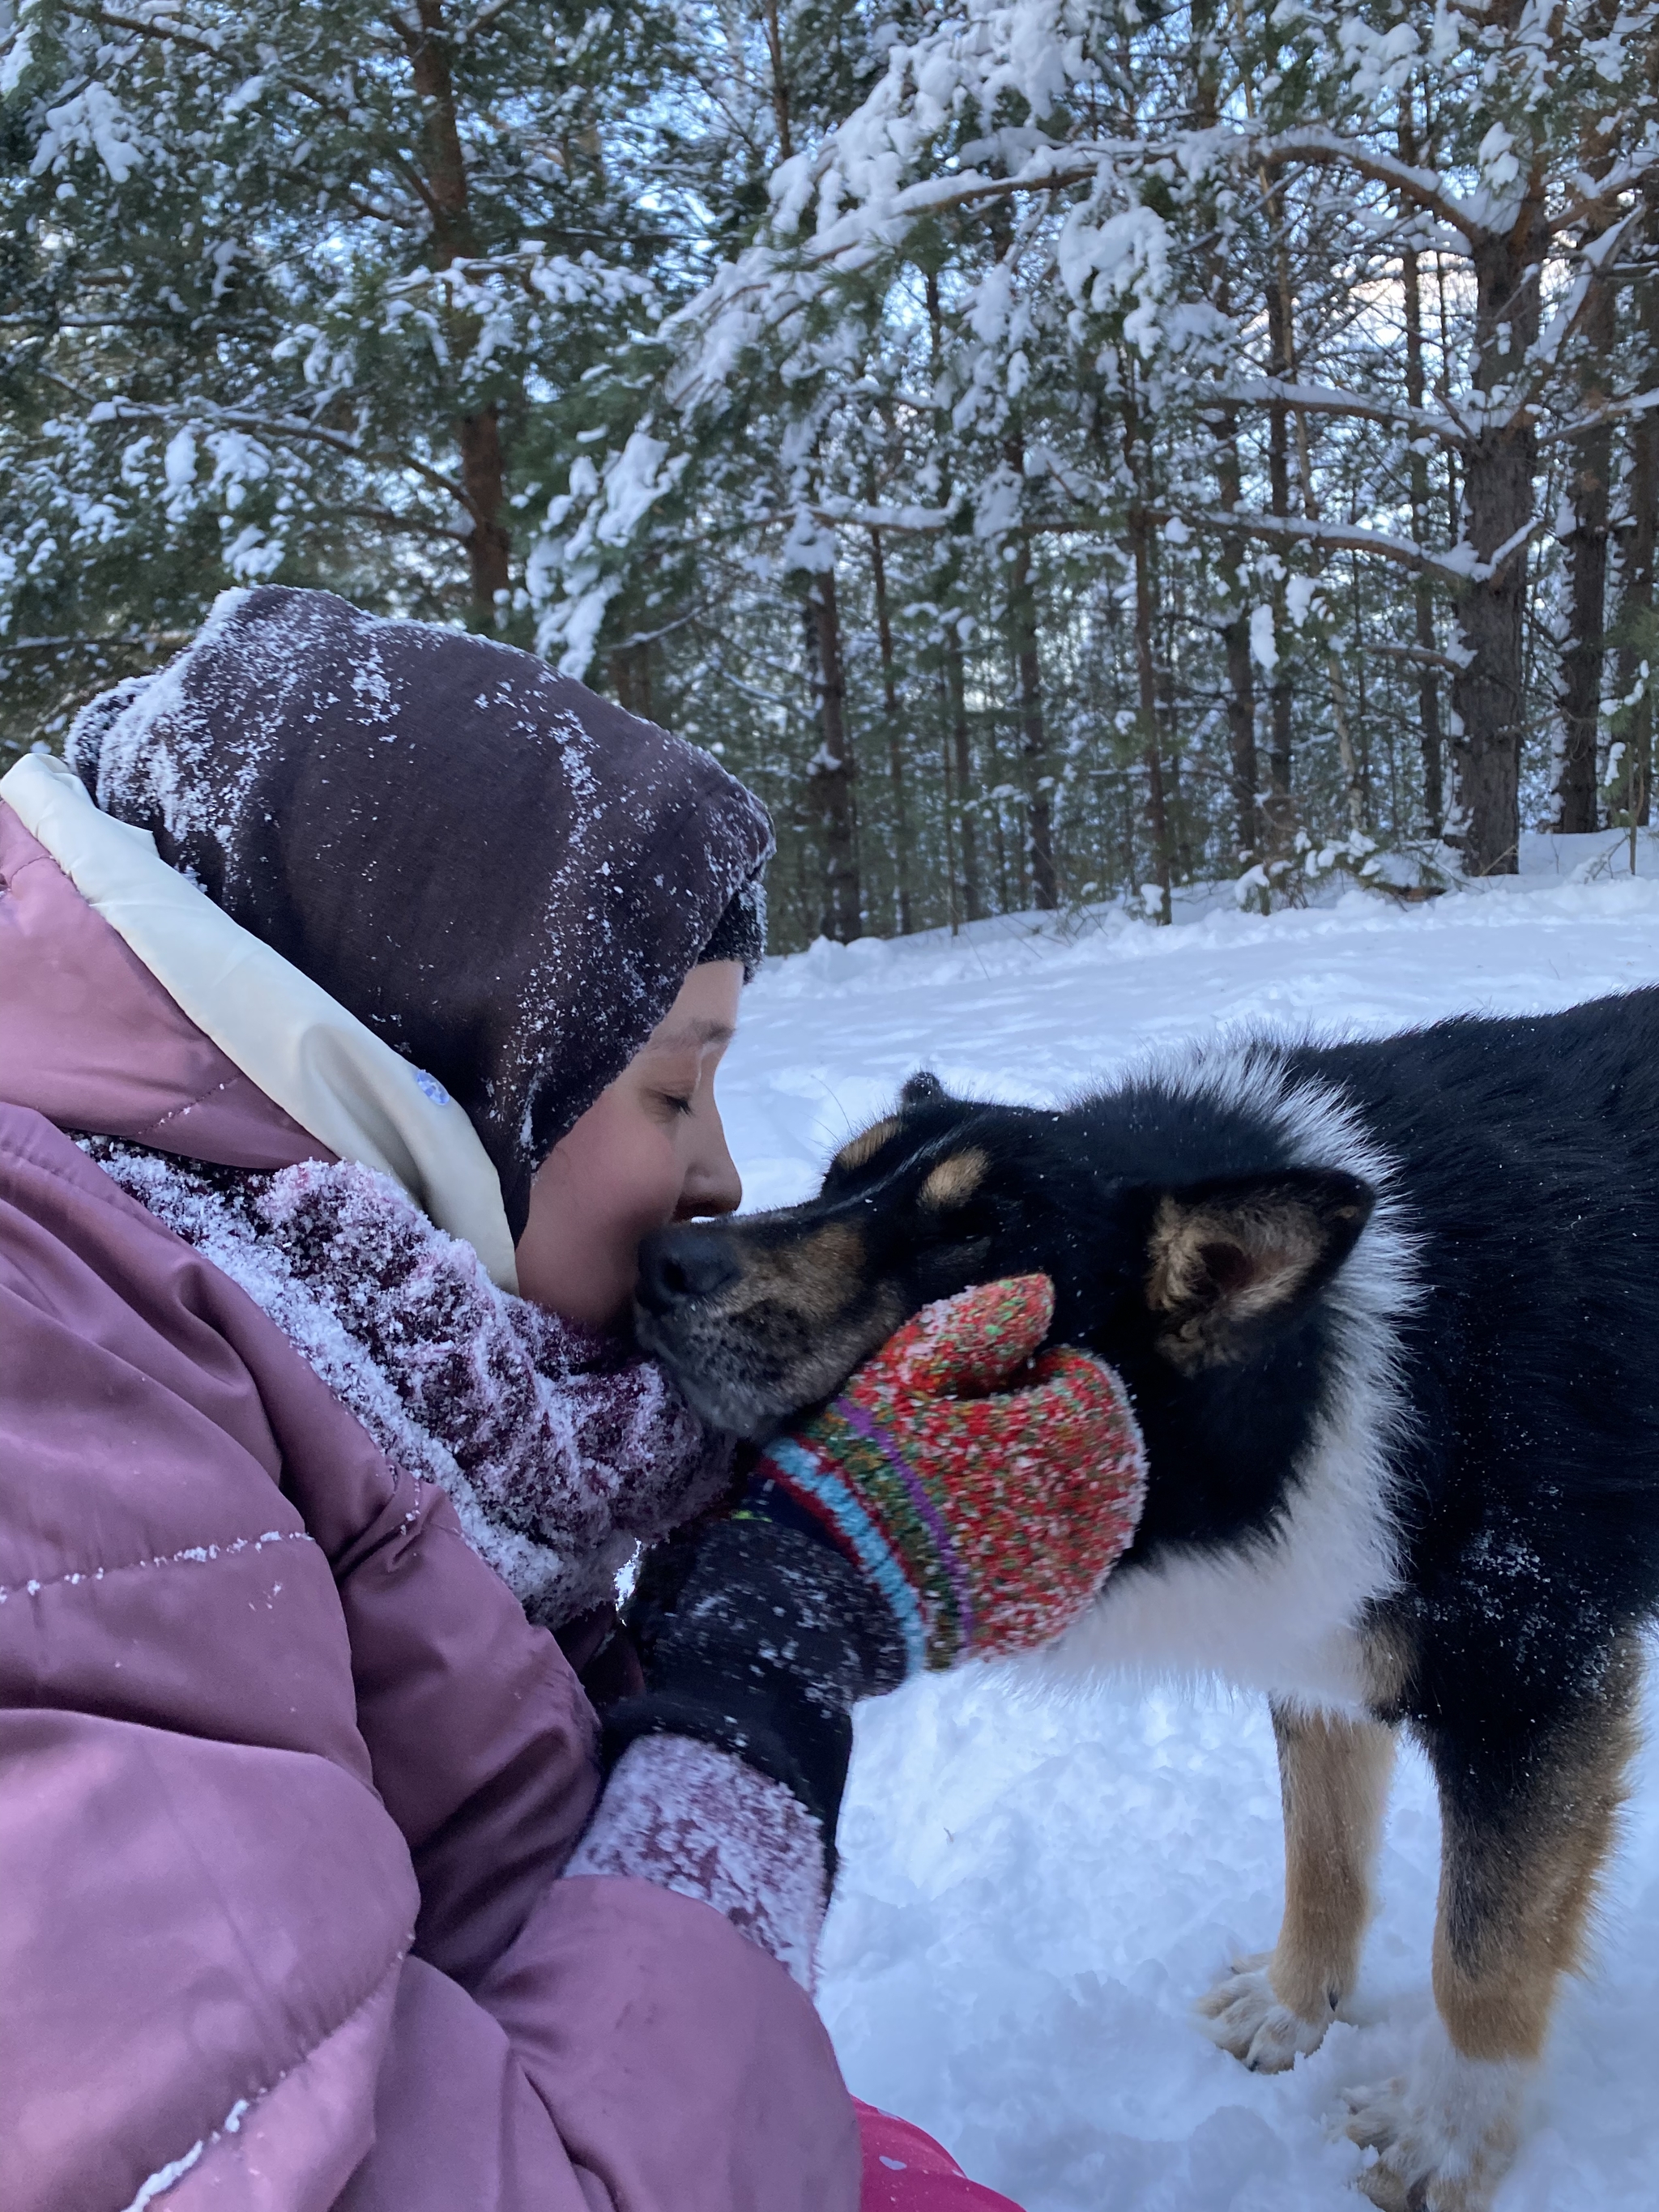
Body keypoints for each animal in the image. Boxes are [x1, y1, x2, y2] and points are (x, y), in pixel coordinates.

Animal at [641, 999, 1659, 2212]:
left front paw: (1442, 2139)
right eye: (834, 1177)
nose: (656, 1258)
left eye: (970, 1238)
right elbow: (1323, 1856)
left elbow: (1482, 1954)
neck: (1345, 1351)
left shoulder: (1531, 1688)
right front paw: (1295, 2004)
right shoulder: (1313, 1646)